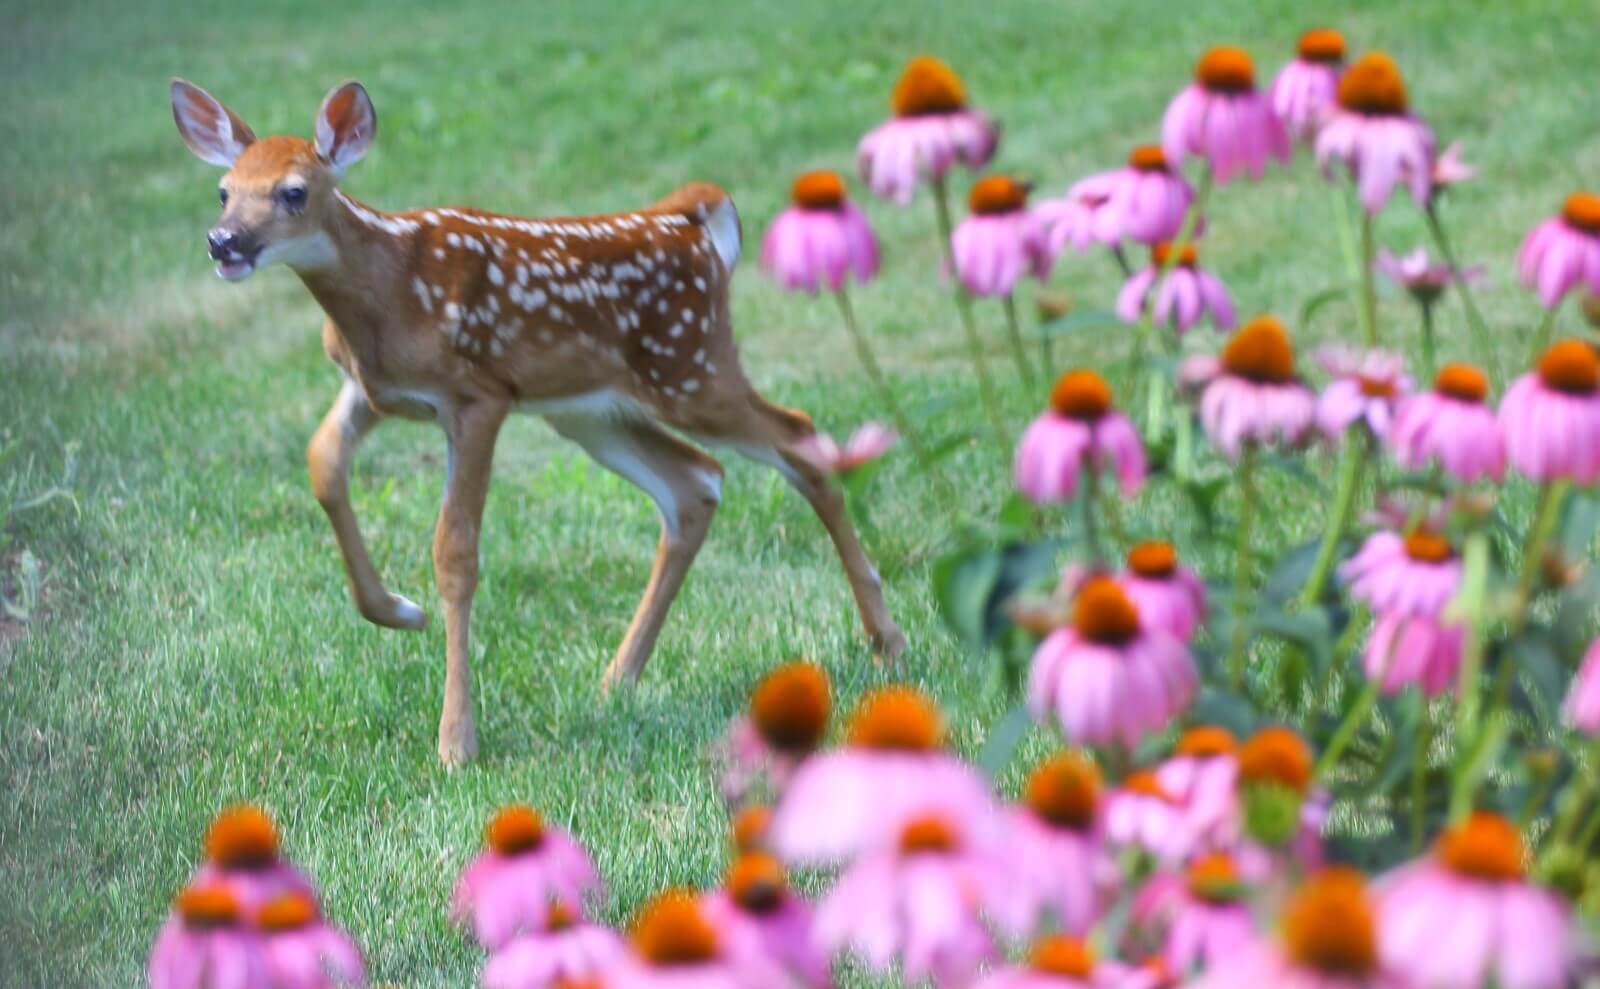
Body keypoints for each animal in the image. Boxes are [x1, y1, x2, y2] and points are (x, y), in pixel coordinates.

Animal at [170, 79, 906, 765]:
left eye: (293, 192)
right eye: (223, 190)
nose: (223, 242)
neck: (387, 291)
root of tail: (690, 221)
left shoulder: (479, 394)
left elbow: (455, 551)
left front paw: (455, 741)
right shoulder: (373, 389)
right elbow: (322, 464)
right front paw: (396, 611)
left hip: (692, 367)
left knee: (798, 437)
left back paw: (886, 640)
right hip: (590, 410)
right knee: (695, 482)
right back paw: (617, 680)